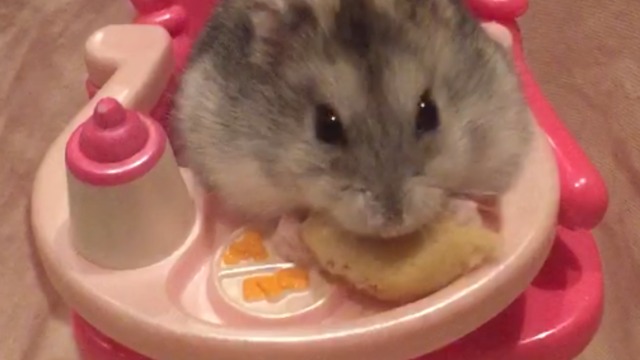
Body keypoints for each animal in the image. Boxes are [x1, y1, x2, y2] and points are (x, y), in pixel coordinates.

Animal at [172, 0, 532, 240]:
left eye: (429, 112)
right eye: (326, 126)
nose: (392, 222)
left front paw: (461, 215)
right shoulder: (240, 174)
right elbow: (282, 218)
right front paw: (294, 239)